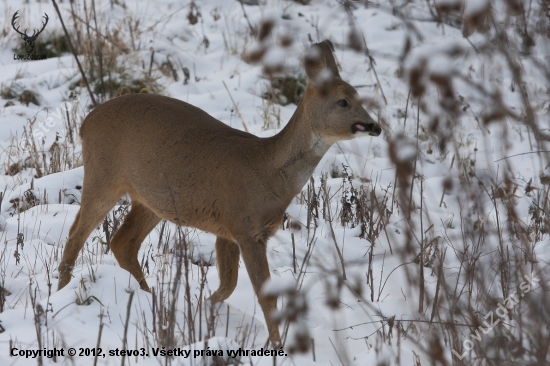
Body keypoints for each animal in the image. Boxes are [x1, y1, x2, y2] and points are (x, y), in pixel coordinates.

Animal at [58, 40, 382, 346]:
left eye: (358, 95)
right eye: (343, 101)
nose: (375, 126)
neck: (268, 171)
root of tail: (85, 123)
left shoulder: (227, 230)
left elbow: (228, 285)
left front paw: (204, 310)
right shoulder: (245, 227)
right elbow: (264, 296)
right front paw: (277, 345)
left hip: (151, 200)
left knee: (123, 242)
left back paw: (148, 298)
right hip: (103, 175)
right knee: (76, 235)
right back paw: (62, 294)